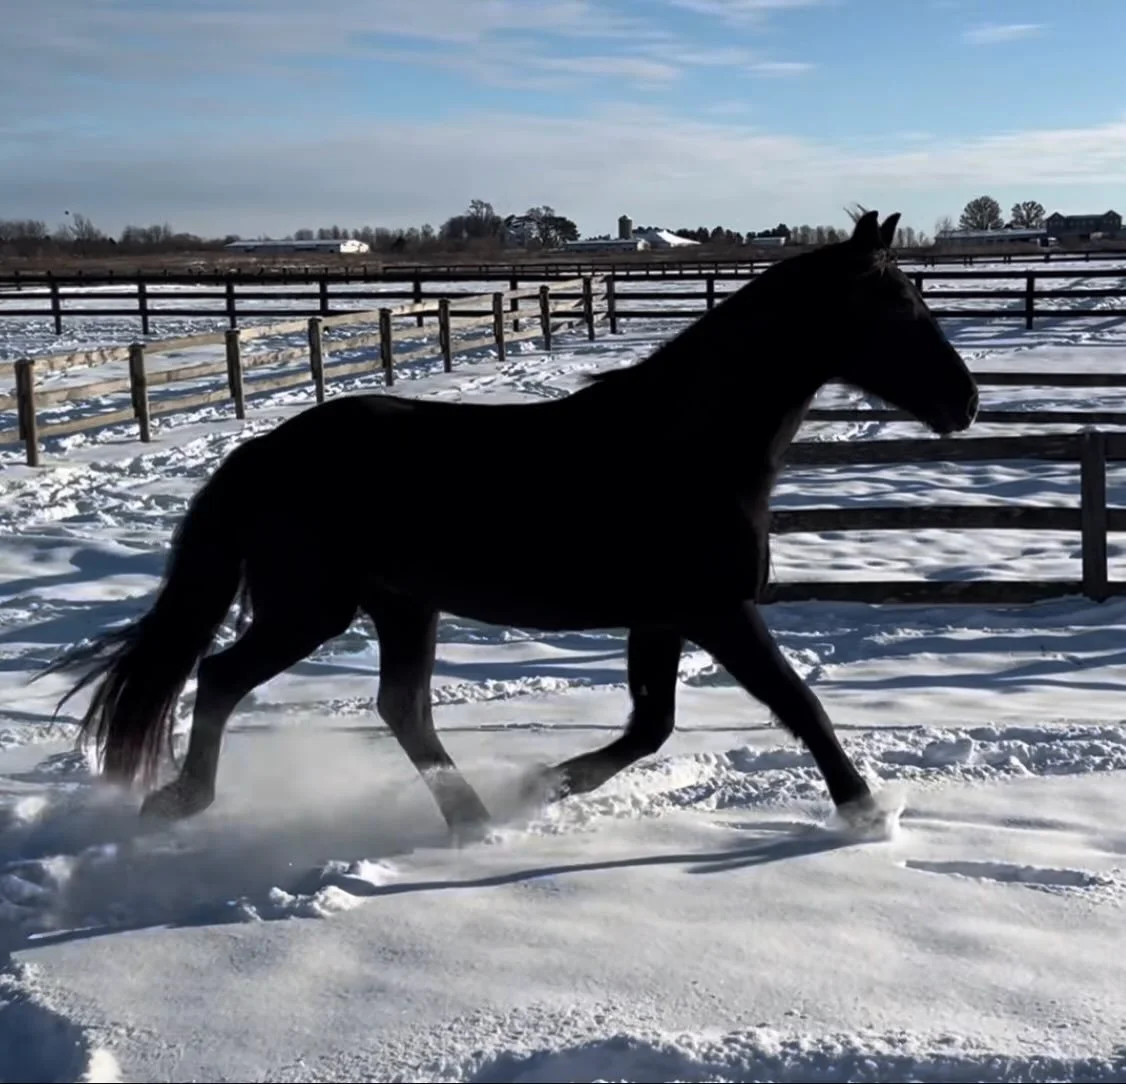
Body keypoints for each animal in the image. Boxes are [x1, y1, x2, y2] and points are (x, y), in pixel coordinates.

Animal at [38, 210, 979, 841]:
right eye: (900, 306)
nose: (964, 403)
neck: (690, 444)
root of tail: (263, 450)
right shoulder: (718, 612)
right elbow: (799, 704)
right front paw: (867, 814)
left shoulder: (662, 617)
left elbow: (652, 726)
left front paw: (544, 783)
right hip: (313, 608)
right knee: (227, 676)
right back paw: (181, 802)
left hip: (402, 605)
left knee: (402, 709)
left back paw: (474, 821)